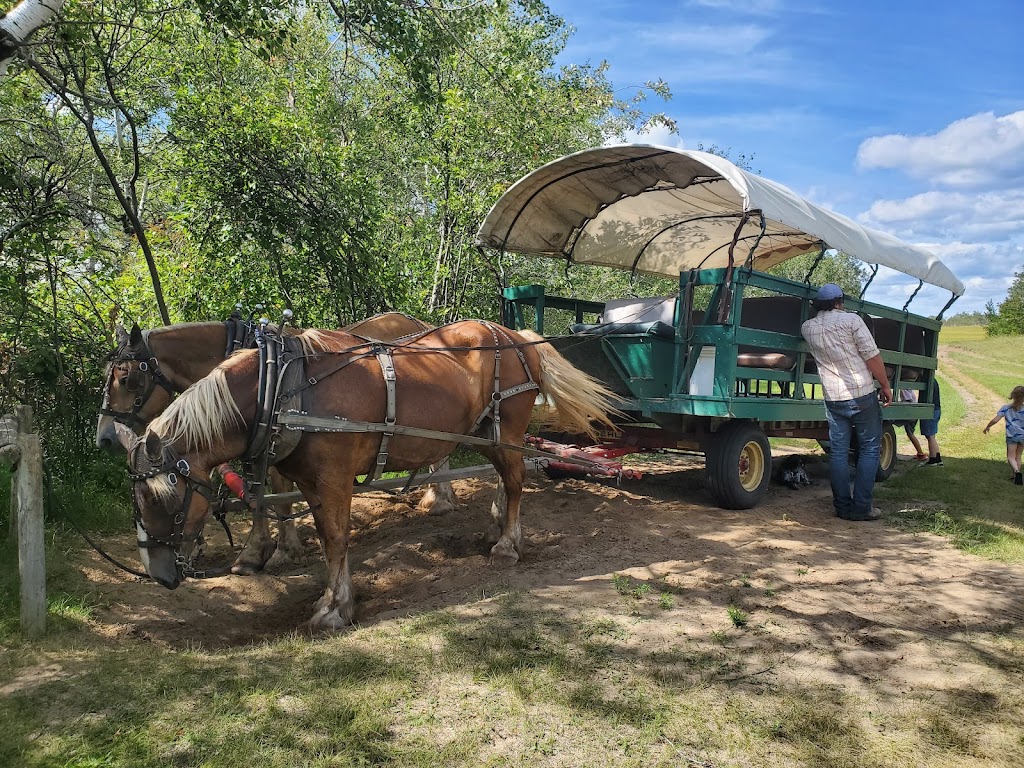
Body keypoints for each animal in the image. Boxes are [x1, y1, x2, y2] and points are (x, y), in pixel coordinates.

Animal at [96, 313, 444, 577]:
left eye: (126, 379)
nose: (105, 437)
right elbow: (257, 491)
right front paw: (257, 551)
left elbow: (275, 493)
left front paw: (278, 551)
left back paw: (440, 500)